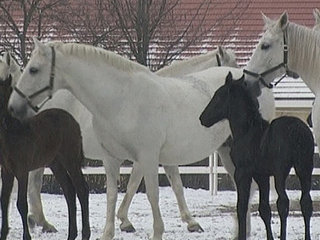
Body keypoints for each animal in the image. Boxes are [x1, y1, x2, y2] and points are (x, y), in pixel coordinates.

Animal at [0, 75, 90, 240]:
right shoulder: (7, 171)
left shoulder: (22, 171)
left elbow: (21, 203)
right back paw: (71, 234)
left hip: (71, 160)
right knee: (69, 191)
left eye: (4, 95)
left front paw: (27, 236)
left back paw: (85, 234)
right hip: (56, 164)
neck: (13, 134)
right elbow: (4, 201)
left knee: (81, 189)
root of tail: (74, 121)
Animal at [199, 72, 314, 240]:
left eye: (218, 96)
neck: (247, 131)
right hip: (305, 169)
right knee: (306, 202)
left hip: (281, 171)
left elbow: (241, 207)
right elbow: (264, 209)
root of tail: (298, 131)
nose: (202, 118)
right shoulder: (262, 175)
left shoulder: (242, 173)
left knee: (283, 202)